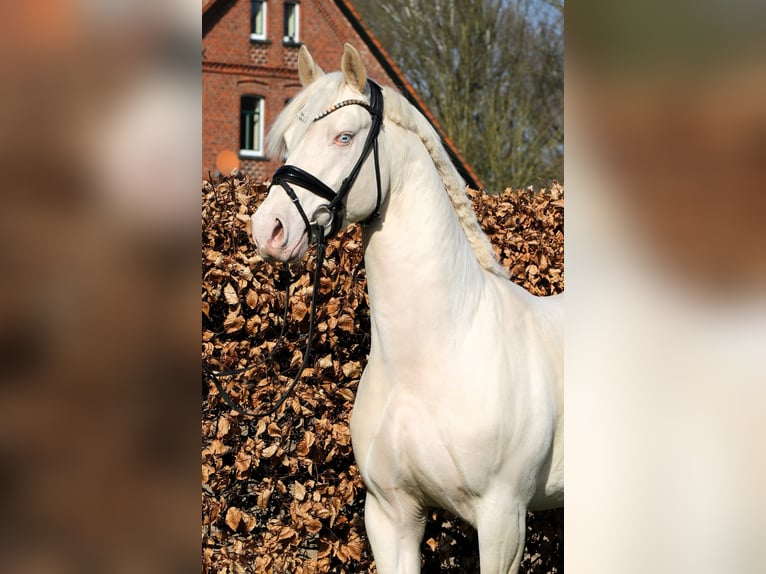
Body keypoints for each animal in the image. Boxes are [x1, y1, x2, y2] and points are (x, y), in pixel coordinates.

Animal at [252, 42, 564, 572]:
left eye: (344, 136)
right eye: (289, 141)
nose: (268, 229)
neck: (432, 360)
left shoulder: (504, 520)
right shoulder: (391, 516)